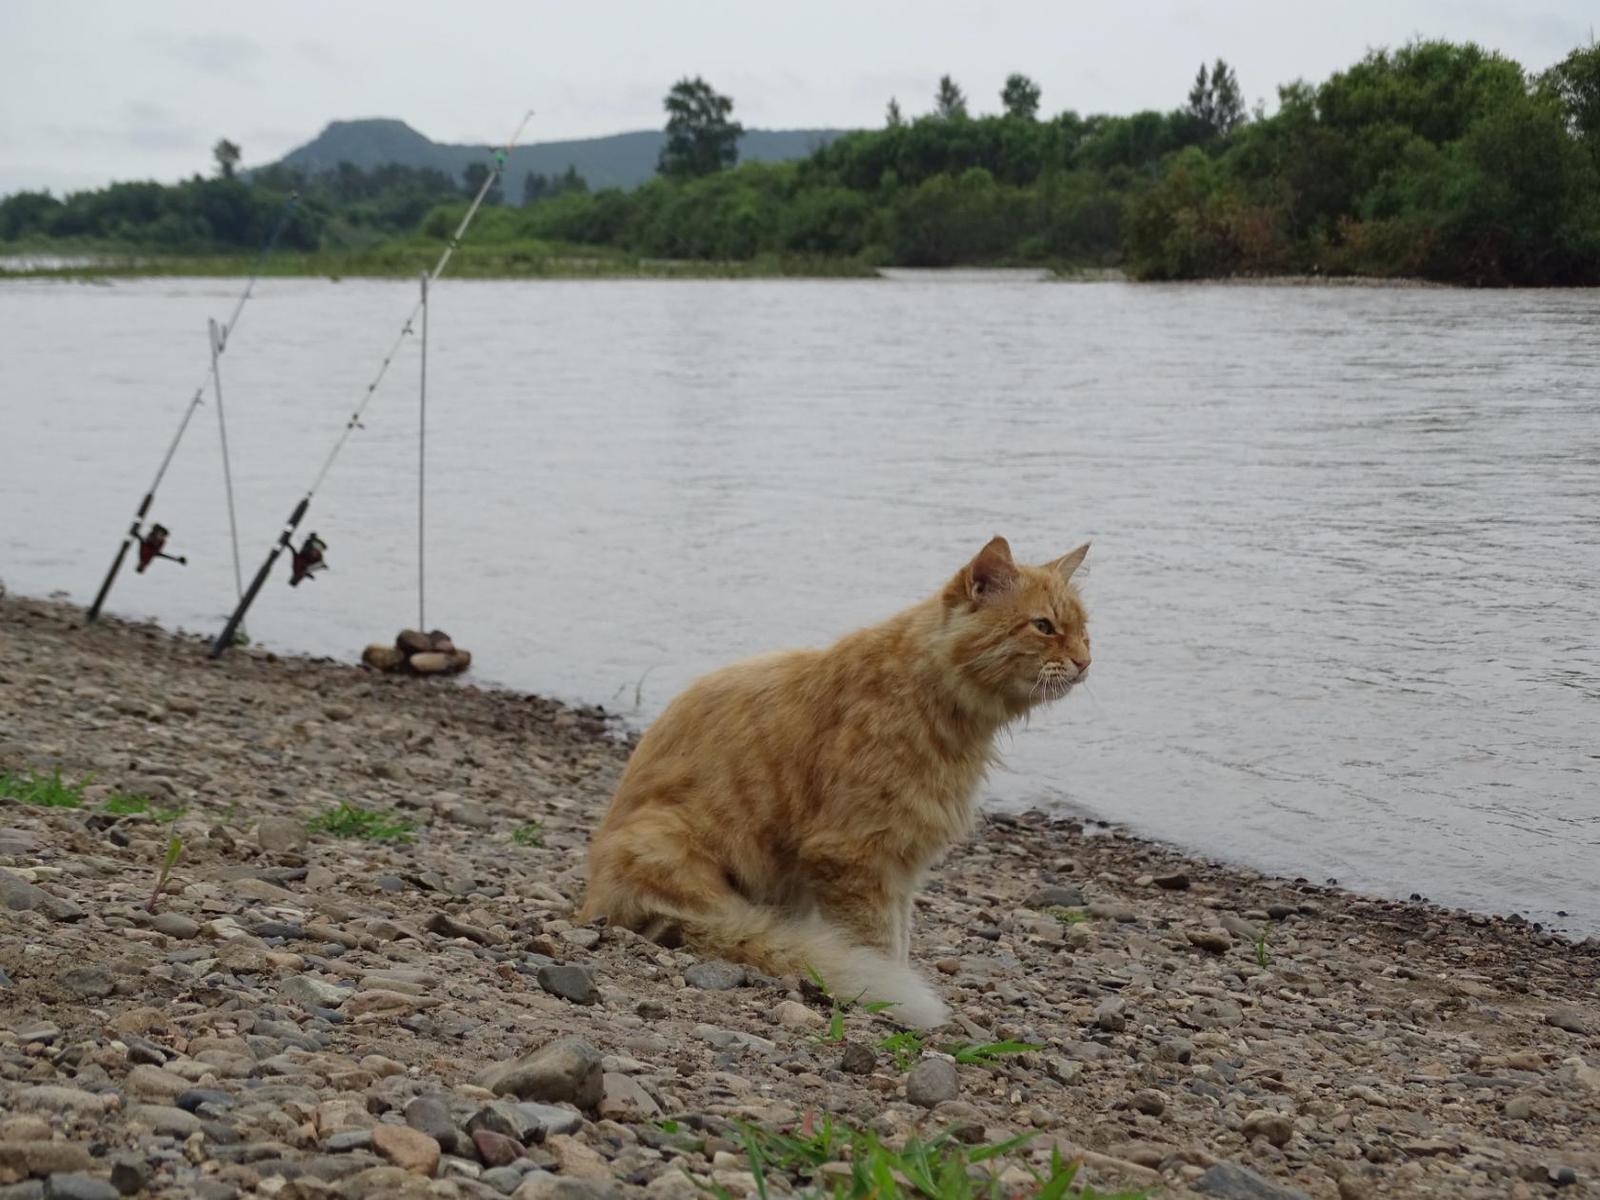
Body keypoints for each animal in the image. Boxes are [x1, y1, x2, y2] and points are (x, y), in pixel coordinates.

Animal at [582, 540, 1094, 1030]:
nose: (1086, 662)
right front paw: (890, 995)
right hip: (670, 846)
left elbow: (899, 940)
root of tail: (594, 896)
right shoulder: (855, 856)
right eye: (1044, 626)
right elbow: (878, 947)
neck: (931, 702)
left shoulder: (900, 867)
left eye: (1084, 630)